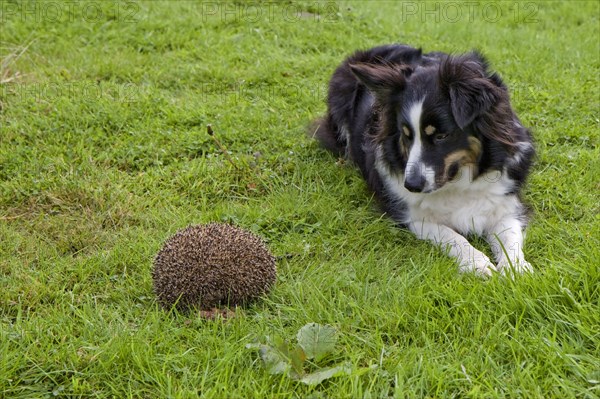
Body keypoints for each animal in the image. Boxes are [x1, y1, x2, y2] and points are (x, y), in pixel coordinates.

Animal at [314, 43, 536, 276]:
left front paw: (516, 267)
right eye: (406, 135)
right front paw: (477, 262)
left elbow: (510, 238)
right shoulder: (411, 216)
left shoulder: (506, 205)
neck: (459, 182)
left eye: (441, 136)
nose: (411, 185)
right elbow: (452, 236)